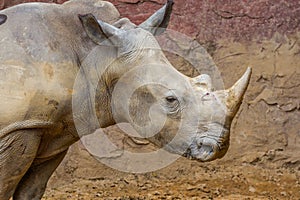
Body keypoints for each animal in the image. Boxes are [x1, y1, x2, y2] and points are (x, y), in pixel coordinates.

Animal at [0, 0, 251, 198]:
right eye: (170, 100)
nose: (217, 147)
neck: (96, 55)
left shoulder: (52, 127)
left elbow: (32, 189)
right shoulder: (19, 125)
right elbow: (5, 186)